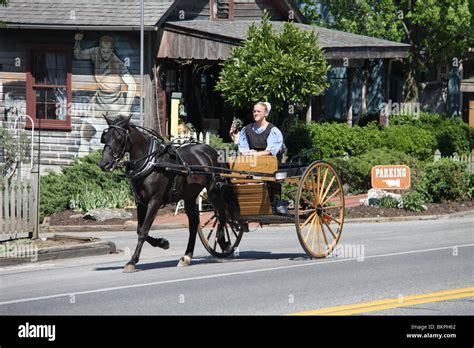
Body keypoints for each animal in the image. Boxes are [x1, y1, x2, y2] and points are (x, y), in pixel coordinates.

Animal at [100, 115, 233, 274]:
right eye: (105, 137)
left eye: (119, 138)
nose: (104, 164)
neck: (150, 163)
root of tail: (212, 150)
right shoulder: (141, 202)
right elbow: (139, 229)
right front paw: (162, 242)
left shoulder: (154, 201)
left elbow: (144, 230)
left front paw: (132, 261)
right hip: (189, 196)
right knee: (194, 224)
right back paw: (186, 256)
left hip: (214, 191)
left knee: (222, 214)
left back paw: (223, 243)